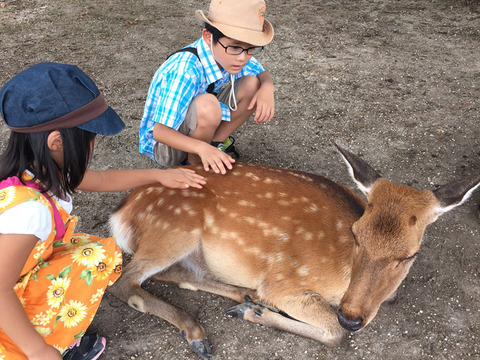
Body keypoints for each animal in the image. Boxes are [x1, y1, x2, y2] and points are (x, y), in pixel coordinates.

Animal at [109, 145, 480, 358]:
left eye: (409, 255)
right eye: (356, 235)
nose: (352, 317)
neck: (342, 277)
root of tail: (123, 209)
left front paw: (251, 308)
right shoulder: (283, 282)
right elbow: (335, 334)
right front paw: (255, 314)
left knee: (174, 273)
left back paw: (243, 297)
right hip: (175, 229)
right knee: (124, 282)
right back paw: (200, 331)